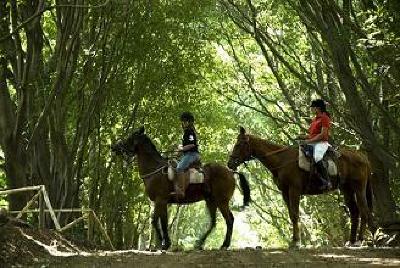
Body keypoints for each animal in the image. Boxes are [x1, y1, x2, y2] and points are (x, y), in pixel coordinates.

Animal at [111, 126, 250, 250]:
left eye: (130, 137)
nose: (114, 147)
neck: (154, 170)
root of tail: (231, 172)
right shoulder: (162, 202)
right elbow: (162, 222)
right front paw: (165, 244)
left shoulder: (160, 200)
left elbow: (156, 221)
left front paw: (162, 243)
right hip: (211, 201)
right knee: (214, 222)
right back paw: (199, 244)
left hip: (221, 201)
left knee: (229, 220)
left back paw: (224, 245)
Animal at [227, 126, 376, 248]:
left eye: (239, 144)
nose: (230, 164)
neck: (282, 160)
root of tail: (362, 156)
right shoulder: (285, 192)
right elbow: (291, 214)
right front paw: (293, 241)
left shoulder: (294, 190)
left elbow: (295, 214)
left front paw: (296, 242)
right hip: (347, 189)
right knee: (355, 212)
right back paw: (351, 241)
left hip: (359, 188)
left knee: (364, 211)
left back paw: (359, 241)